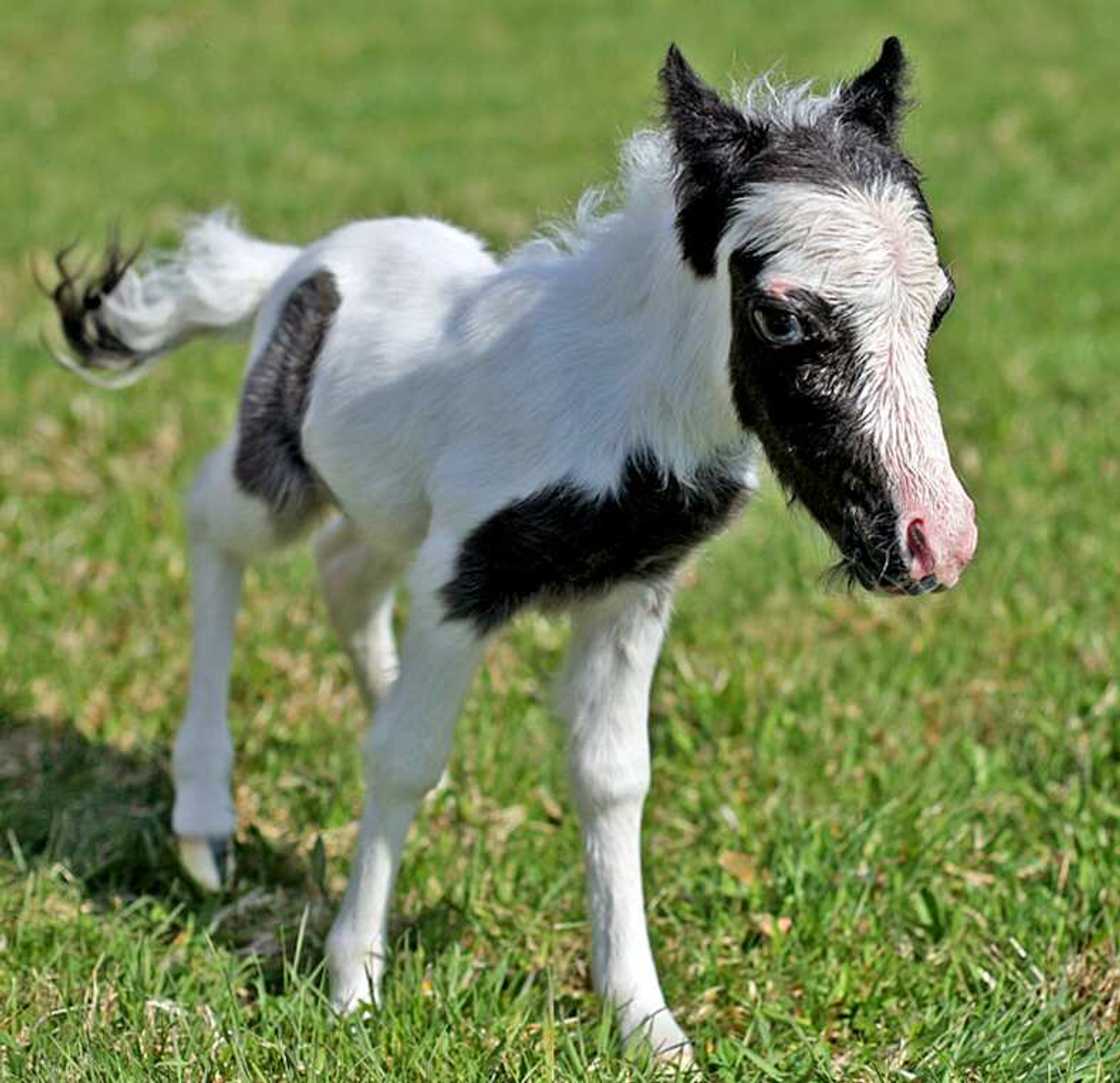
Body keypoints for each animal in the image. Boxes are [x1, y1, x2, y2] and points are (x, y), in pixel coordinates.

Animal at [48, 38, 972, 1061]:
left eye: (939, 305)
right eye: (781, 317)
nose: (937, 542)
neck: (617, 399)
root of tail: (300, 263)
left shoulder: (632, 590)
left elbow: (613, 776)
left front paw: (644, 1018)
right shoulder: (464, 579)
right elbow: (403, 758)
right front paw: (353, 985)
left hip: (395, 507)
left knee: (345, 567)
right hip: (284, 477)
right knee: (215, 518)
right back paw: (204, 821)